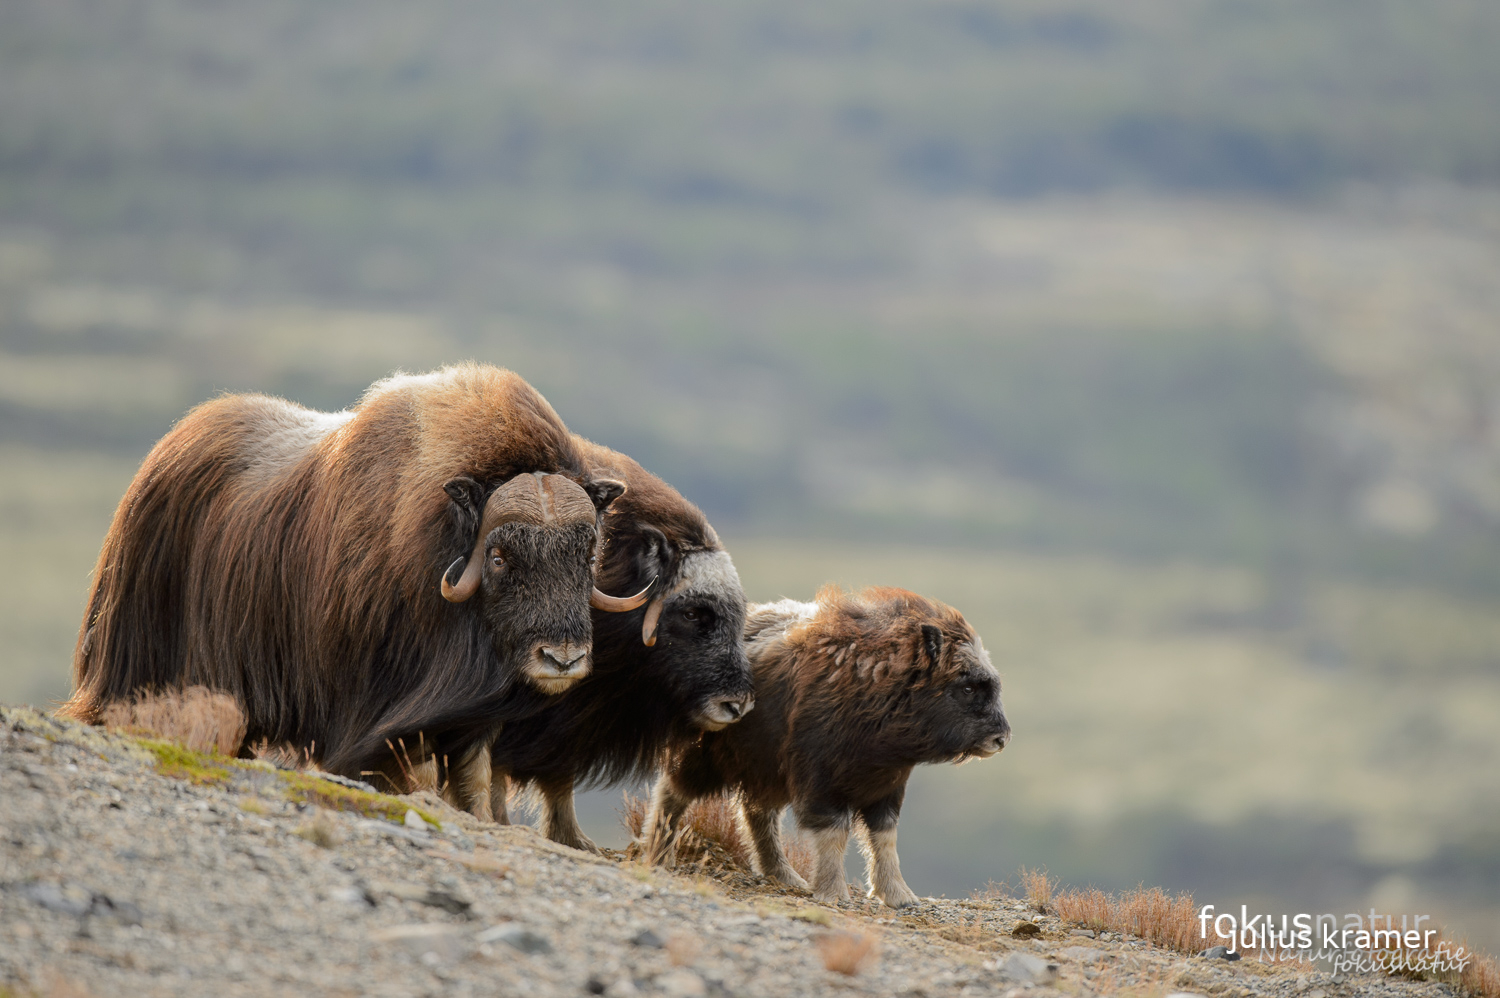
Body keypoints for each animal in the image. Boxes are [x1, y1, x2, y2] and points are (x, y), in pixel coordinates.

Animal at [642, 588, 1008, 906]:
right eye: (967, 686)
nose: (1001, 739)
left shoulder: (886, 787)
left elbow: (885, 837)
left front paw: (899, 896)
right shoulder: (821, 783)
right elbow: (834, 833)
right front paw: (833, 893)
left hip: (765, 771)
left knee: (757, 813)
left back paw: (785, 875)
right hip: (704, 758)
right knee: (673, 795)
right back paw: (659, 856)